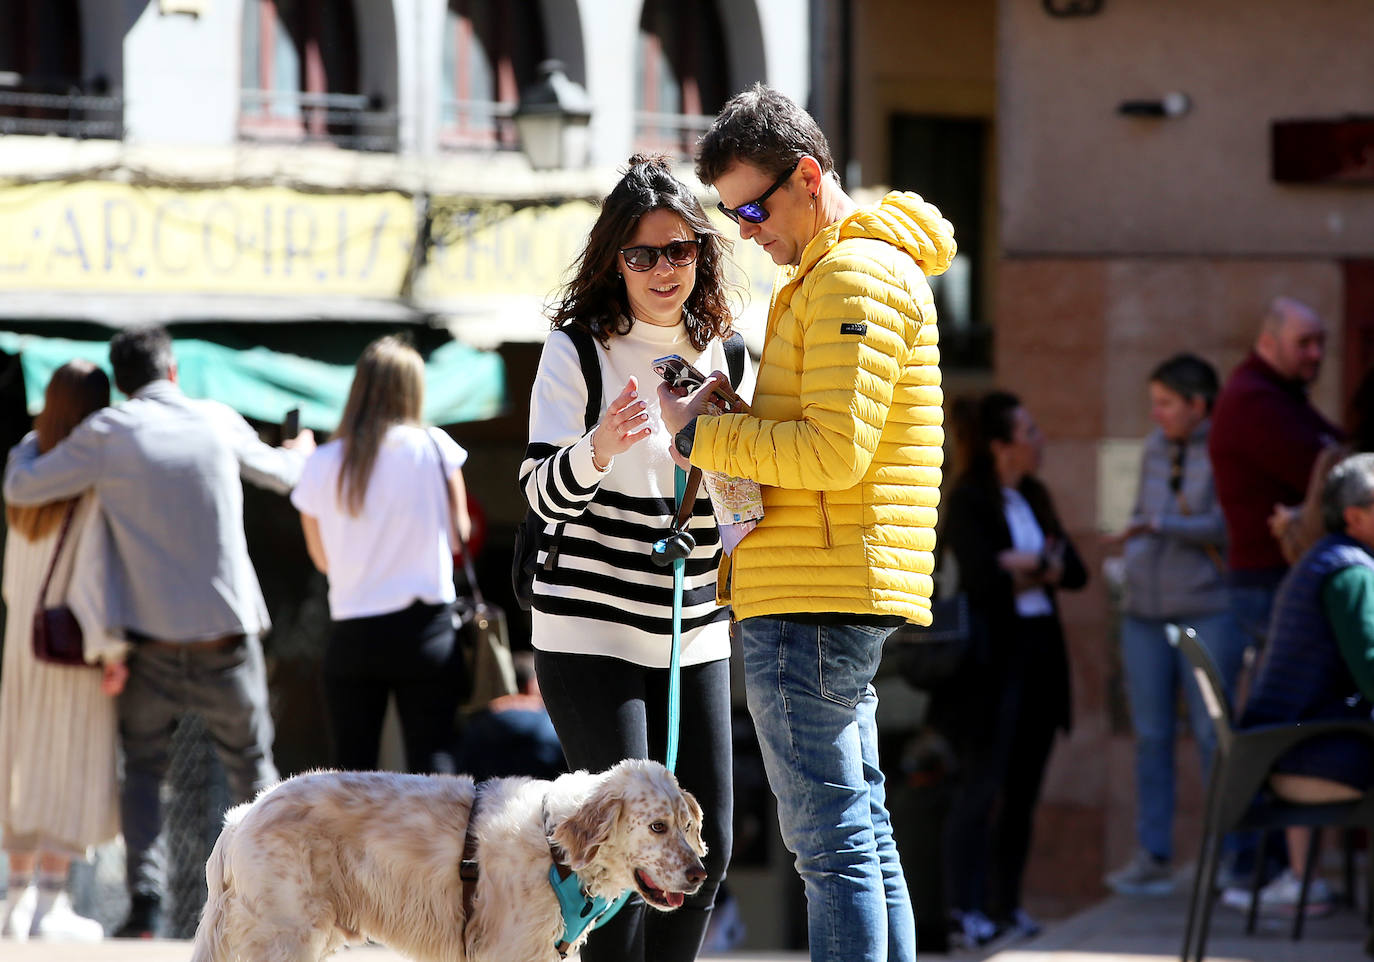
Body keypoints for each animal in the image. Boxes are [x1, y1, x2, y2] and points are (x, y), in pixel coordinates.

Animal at [188, 758, 703, 962]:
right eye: (657, 827)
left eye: (686, 825)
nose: (700, 874)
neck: (555, 848)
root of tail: (242, 816)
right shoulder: (507, 951)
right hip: (285, 936)